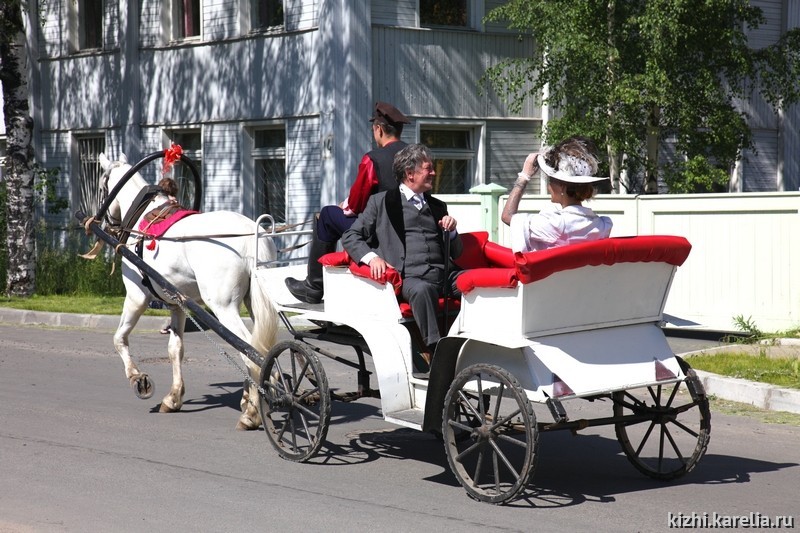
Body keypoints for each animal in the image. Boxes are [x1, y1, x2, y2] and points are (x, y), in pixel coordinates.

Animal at [97, 153, 280, 428]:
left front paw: (137, 379)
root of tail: (251, 237)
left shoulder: (136, 297)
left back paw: (251, 414)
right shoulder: (177, 304)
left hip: (223, 307)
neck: (144, 220)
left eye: (101, 187)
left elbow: (119, 338)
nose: (105, 224)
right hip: (254, 302)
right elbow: (175, 350)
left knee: (250, 350)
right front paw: (173, 398)